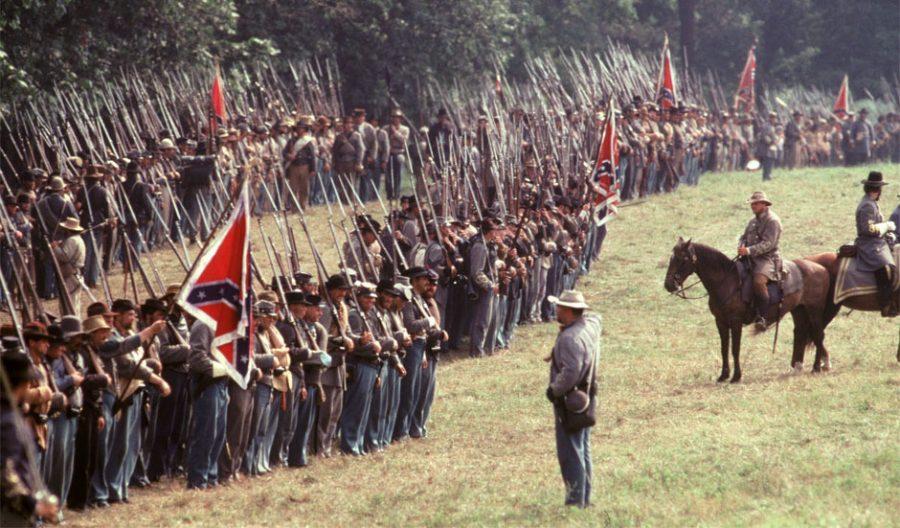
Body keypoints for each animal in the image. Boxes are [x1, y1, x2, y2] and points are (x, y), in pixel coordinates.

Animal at [663, 237, 832, 382]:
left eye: (682, 259)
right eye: (672, 258)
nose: (669, 285)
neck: (727, 281)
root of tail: (821, 268)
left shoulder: (736, 322)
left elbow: (735, 349)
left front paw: (736, 376)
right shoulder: (721, 322)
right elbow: (724, 349)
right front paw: (723, 375)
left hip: (814, 311)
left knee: (818, 334)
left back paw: (817, 367)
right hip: (799, 311)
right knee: (802, 333)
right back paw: (798, 367)